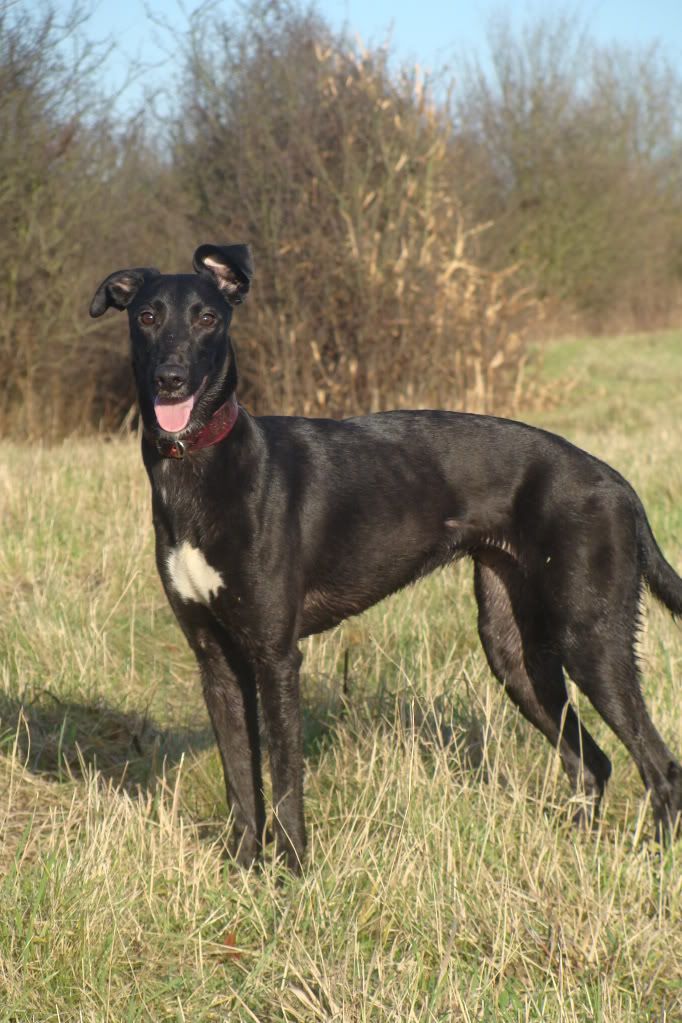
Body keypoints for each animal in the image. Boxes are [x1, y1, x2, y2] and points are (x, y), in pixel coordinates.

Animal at [90, 241, 682, 871]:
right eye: (146, 316)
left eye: (206, 317)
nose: (171, 380)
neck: (202, 466)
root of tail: (619, 484)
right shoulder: (216, 660)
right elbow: (241, 782)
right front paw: (243, 868)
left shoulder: (276, 656)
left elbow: (285, 778)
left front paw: (293, 872)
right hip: (514, 651)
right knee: (591, 763)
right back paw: (576, 854)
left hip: (591, 638)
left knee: (660, 767)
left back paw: (656, 861)